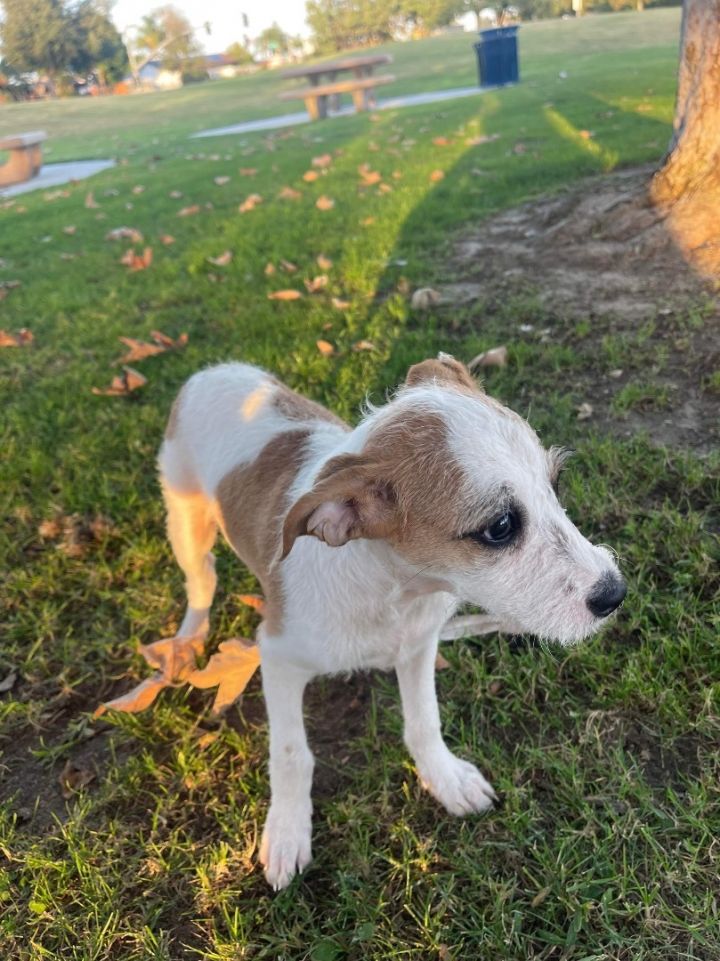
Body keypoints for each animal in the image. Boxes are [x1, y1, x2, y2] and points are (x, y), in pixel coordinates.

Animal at [158, 356, 624, 888]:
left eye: (555, 483)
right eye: (500, 527)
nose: (615, 594)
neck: (391, 592)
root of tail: (214, 370)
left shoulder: (418, 644)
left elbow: (424, 722)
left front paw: (445, 779)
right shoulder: (277, 656)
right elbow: (292, 753)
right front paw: (288, 831)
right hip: (185, 521)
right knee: (201, 581)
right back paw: (187, 639)